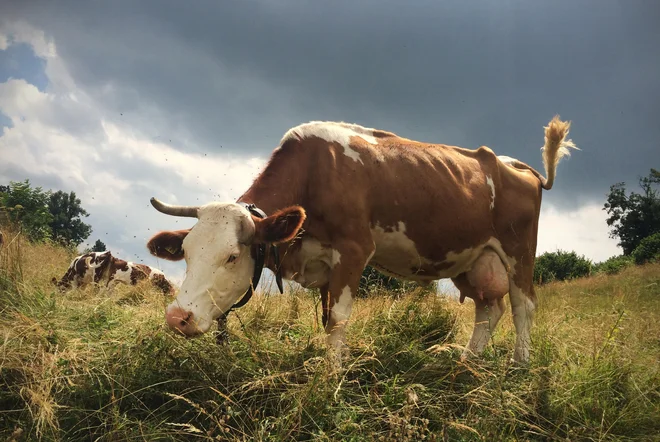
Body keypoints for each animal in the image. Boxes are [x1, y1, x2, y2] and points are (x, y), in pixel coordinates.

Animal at [146, 115, 576, 362]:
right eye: (186, 254)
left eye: (232, 256)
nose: (177, 317)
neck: (313, 174)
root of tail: (519, 166)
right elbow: (326, 321)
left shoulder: (354, 251)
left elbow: (337, 321)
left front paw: (329, 381)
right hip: (471, 261)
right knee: (489, 309)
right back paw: (466, 364)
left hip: (519, 252)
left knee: (522, 308)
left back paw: (519, 367)